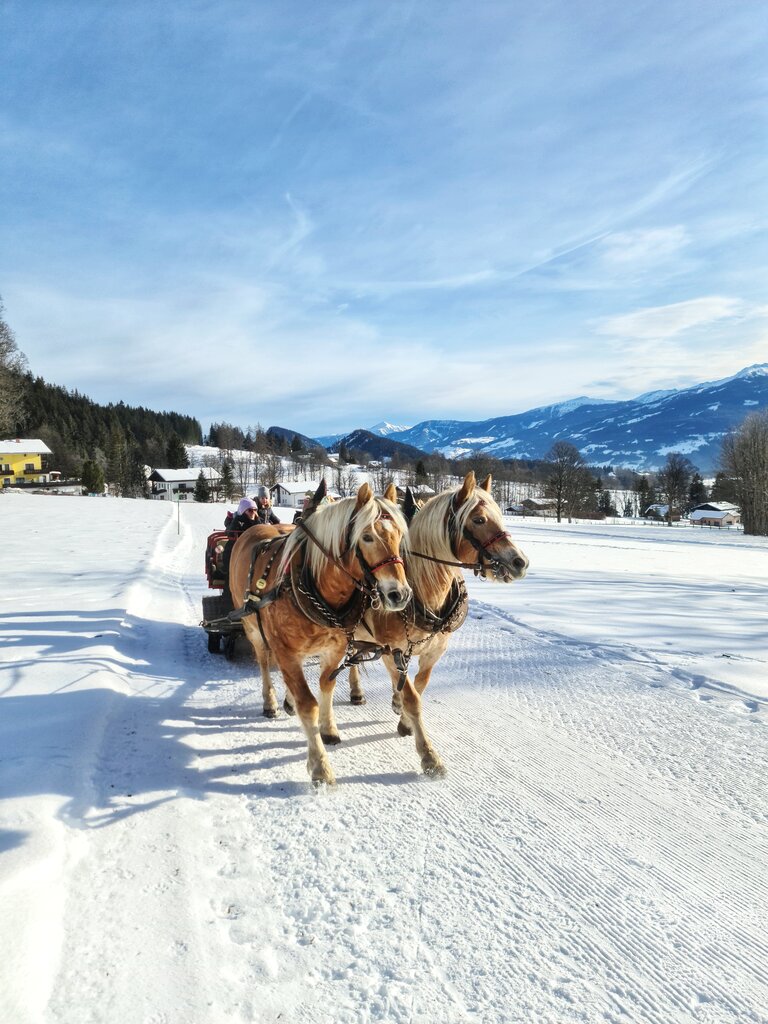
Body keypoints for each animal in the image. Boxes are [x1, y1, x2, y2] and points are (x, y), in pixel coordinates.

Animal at [228, 483, 411, 786]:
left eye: (398, 535)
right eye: (367, 537)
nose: (400, 594)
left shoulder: (334, 649)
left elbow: (326, 687)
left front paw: (329, 729)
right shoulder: (286, 650)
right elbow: (307, 704)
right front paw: (320, 767)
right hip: (252, 628)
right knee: (264, 663)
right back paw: (270, 702)